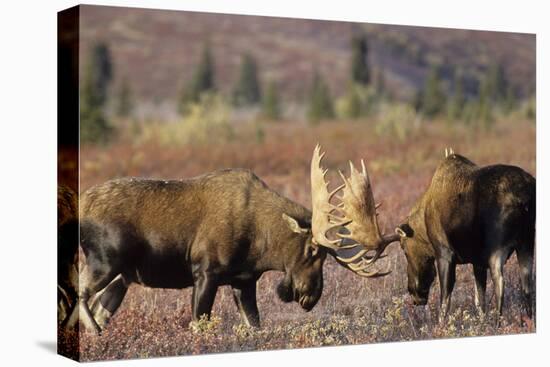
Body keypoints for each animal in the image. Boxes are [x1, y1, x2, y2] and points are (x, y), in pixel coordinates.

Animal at [64, 162, 392, 334]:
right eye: (314, 250)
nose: (310, 296)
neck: (261, 246)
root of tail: (81, 206)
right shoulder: (205, 272)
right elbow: (199, 324)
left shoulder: (243, 281)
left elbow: (255, 325)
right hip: (105, 260)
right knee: (81, 293)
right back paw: (94, 333)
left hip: (123, 276)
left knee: (96, 306)